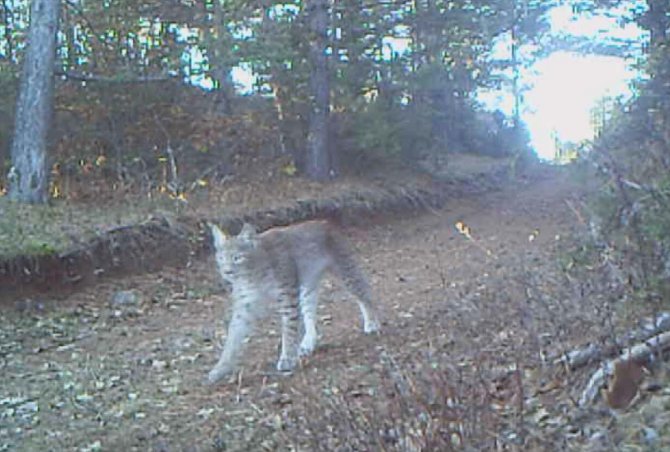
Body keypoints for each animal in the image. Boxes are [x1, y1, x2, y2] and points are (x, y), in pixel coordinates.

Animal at [207, 221, 380, 384]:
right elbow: (232, 337)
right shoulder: (245, 306)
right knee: (309, 315)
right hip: (306, 288)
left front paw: (287, 358)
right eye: (221, 258)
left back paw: (372, 322)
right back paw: (308, 342)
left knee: (364, 293)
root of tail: (324, 222)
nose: (227, 272)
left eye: (237, 258)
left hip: (345, 271)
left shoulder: (287, 296)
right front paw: (220, 368)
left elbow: (288, 331)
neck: (252, 275)